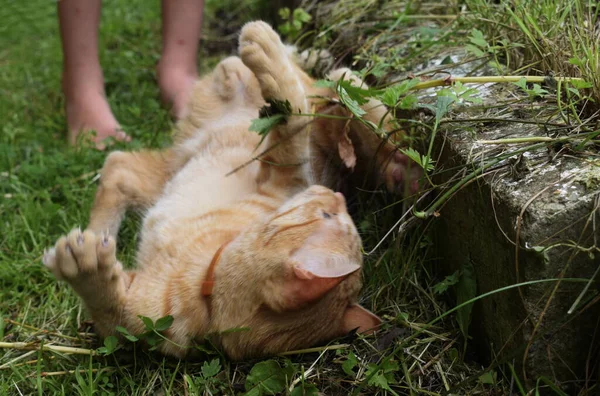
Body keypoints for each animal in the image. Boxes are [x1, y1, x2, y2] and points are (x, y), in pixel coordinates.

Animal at [42, 22, 418, 362]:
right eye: (328, 213)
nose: (336, 196)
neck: (205, 286)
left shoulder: (135, 327)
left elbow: (108, 311)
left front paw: (86, 267)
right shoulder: (289, 177)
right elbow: (293, 126)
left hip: (168, 171)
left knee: (119, 167)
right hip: (327, 97)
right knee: (345, 98)